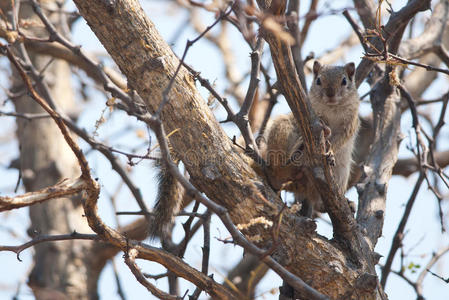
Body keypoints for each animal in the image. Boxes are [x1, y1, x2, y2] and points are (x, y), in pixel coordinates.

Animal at [258, 61, 358, 216]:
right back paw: (298, 151)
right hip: (280, 130)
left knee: (320, 206)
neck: (332, 108)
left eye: (344, 81)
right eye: (318, 80)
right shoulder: (309, 115)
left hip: (341, 172)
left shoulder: (350, 123)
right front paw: (325, 132)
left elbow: (340, 139)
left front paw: (330, 152)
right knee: (277, 174)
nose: (330, 94)